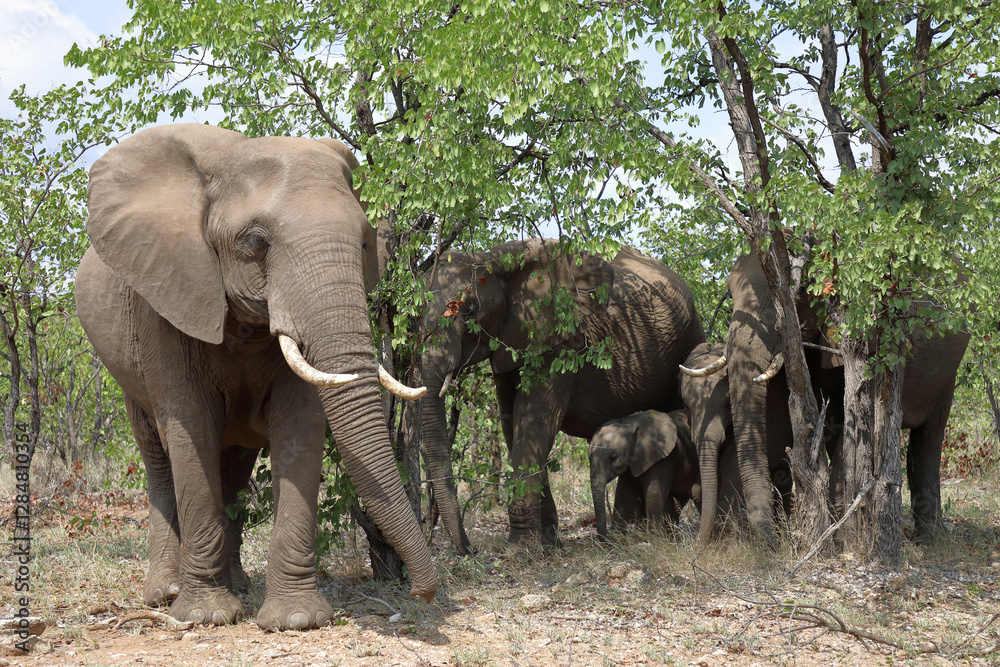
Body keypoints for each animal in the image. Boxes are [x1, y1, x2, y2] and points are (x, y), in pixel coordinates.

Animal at [74, 123, 437, 630]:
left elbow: (300, 425)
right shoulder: (165, 298)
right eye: (257, 243)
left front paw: (297, 620)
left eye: (365, 242)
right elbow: (191, 426)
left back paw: (239, 585)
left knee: (234, 461)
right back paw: (167, 593)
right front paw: (206, 616)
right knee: (158, 453)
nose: (425, 592)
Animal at [588, 409, 701, 540]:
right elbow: (623, 493)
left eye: (613, 457)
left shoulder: (664, 457)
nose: (605, 539)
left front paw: (656, 541)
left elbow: (653, 493)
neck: (629, 424)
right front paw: (618, 542)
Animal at [682, 251, 970, 543]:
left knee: (930, 437)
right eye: (730, 295)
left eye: (797, 293)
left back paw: (931, 539)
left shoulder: (879, 333)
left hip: (946, 370)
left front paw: (841, 540)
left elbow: (861, 420)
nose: (769, 545)